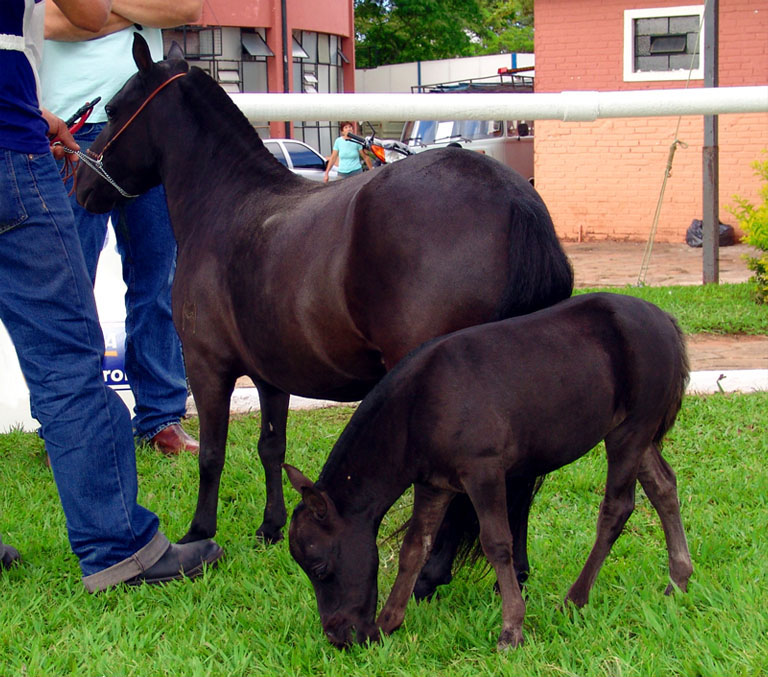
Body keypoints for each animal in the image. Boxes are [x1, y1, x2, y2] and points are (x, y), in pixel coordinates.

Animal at [75, 35, 574, 563]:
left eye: (112, 108)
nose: (82, 186)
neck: (227, 206)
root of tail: (514, 199)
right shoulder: (272, 375)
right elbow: (271, 448)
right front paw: (269, 528)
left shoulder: (207, 364)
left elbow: (212, 453)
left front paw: (199, 534)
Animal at [285, 292, 693, 651]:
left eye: (320, 567)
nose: (339, 636)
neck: (419, 407)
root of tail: (665, 321)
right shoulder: (433, 483)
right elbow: (415, 547)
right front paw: (388, 623)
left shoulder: (484, 471)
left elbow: (496, 543)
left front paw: (511, 630)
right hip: (632, 431)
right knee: (663, 486)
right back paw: (678, 580)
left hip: (631, 431)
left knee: (617, 508)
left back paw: (575, 599)